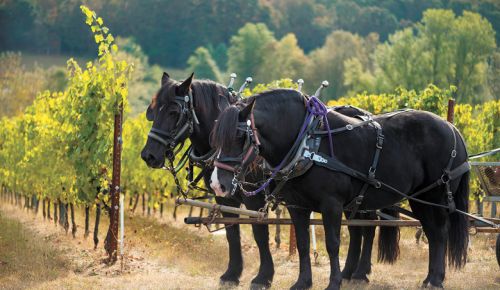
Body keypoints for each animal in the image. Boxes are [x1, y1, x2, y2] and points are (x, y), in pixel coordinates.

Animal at [211, 89, 468, 288]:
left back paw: (435, 280)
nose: (217, 184)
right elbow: (303, 244)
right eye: (215, 137)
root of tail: (452, 128)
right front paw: (302, 283)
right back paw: (429, 279)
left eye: (239, 136)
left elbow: (333, 244)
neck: (307, 141)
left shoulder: (331, 204)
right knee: (432, 234)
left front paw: (333, 283)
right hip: (418, 199)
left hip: (435, 197)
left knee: (439, 233)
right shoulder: (297, 206)